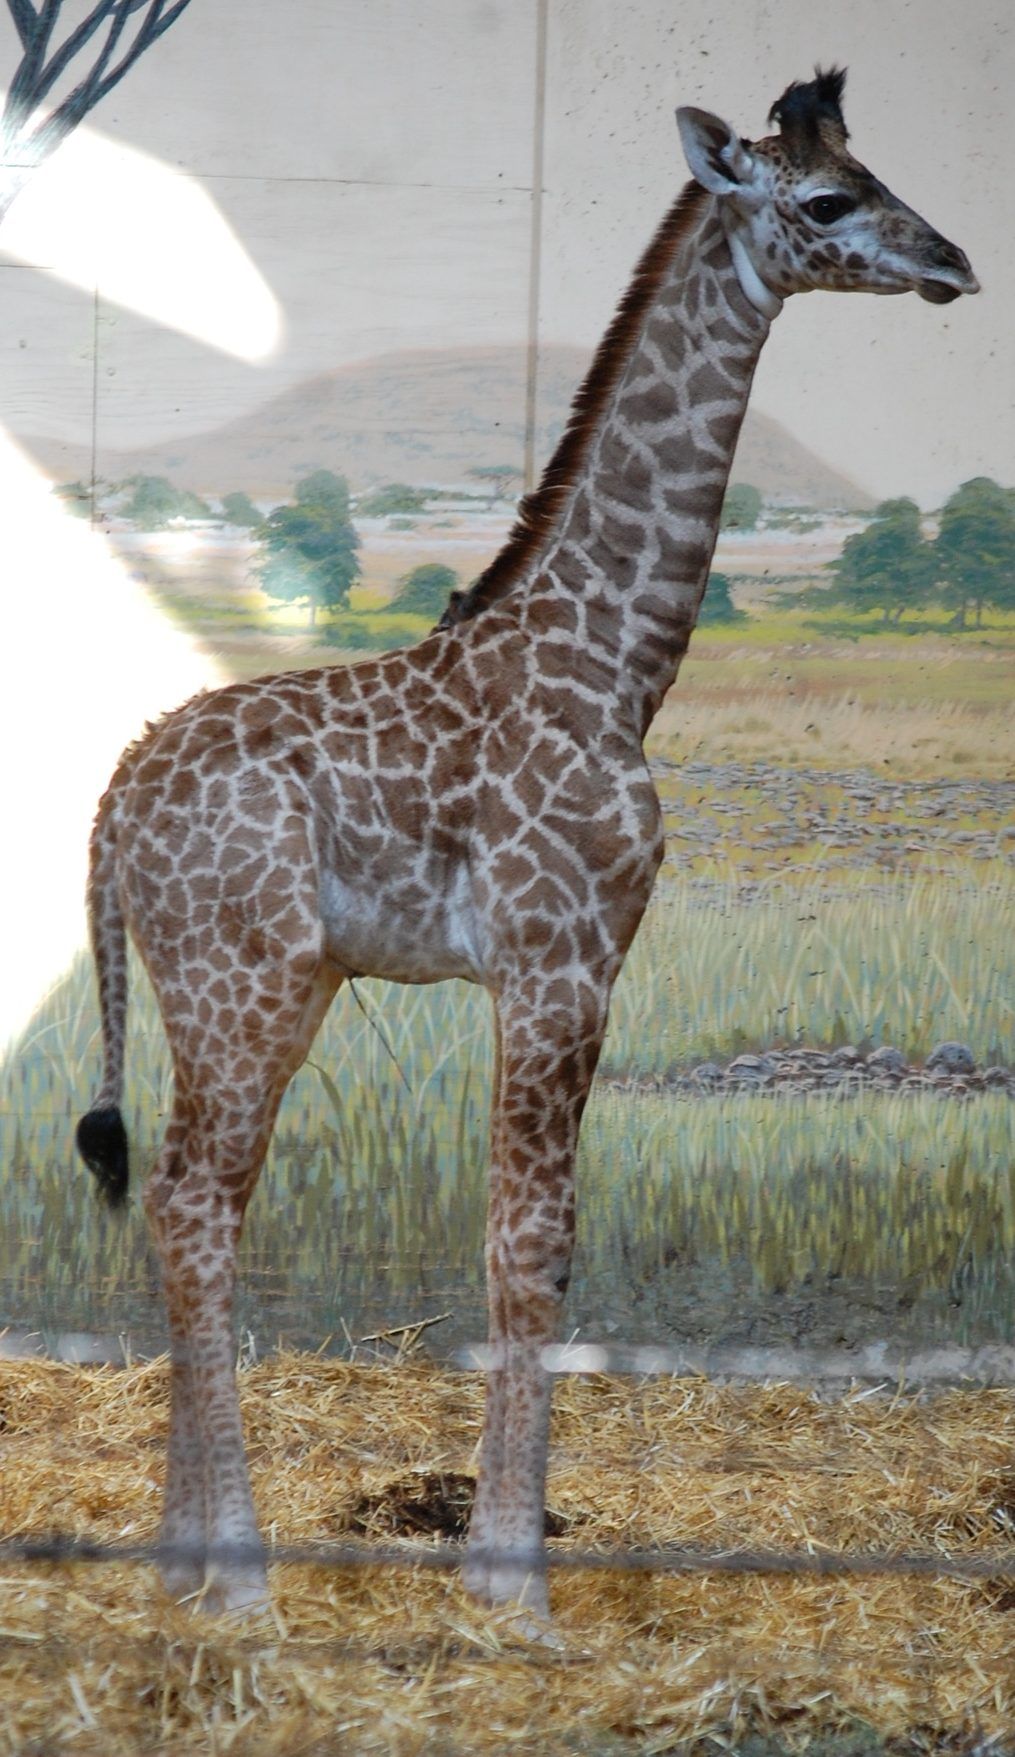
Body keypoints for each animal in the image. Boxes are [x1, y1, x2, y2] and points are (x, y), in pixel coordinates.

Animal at [76, 70, 977, 1624]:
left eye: (880, 174)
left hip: (244, 987)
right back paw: (238, 1577)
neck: (612, 666)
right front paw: (509, 1582)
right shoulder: (562, 961)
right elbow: (527, 1247)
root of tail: (117, 796)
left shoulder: (572, 966)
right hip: (245, 982)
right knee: (195, 1209)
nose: (954, 264)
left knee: (192, 1202)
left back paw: (184, 1564)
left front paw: (504, 1559)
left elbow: (534, 1243)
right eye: (825, 200)